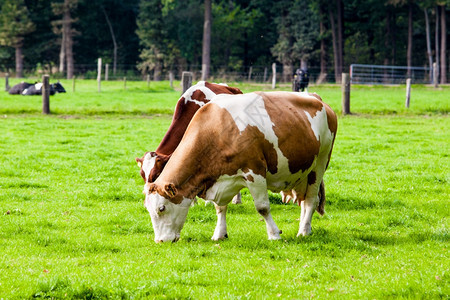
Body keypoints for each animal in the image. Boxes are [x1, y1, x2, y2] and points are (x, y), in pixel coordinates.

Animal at [141, 91, 338, 241]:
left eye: (161, 208)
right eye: (148, 209)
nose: (160, 241)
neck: (216, 130)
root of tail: (316, 98)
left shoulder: (255, 172)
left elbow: (262, 207)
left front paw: (274, 234)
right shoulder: (222, 178)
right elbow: (220, 208)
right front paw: (219, 234)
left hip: (320, 164)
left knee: (312, 199)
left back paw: (303, 231)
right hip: (302, 173)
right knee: (304, 201)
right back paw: (306, 227)